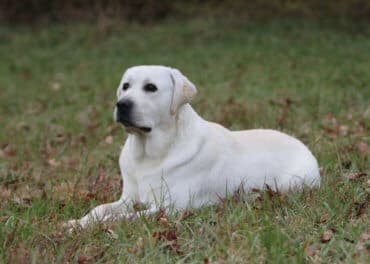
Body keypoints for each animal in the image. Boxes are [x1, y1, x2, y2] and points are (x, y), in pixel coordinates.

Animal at [65, 65, 320, 230]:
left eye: (151, 87)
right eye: (125, 86)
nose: (122, 104)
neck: (149, 154)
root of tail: (304, 146)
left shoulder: (168, 208)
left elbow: (120, 218)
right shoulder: (129, 197)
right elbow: (100, 210)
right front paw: (77, 222)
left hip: (290, 184)